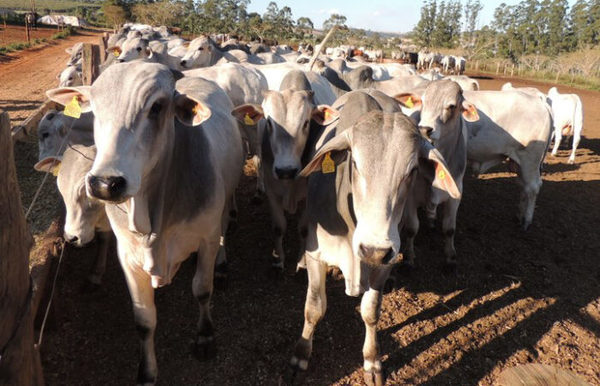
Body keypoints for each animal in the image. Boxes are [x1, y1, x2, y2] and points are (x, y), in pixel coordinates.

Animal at [45, 61, 245, 384]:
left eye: (157, 107)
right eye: (94, 109)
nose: (105, 183)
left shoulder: (206, 238)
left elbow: (202, 289)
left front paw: (204, 336)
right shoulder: (128, 256)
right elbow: (143, 319)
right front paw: (147, 371)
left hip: (226, 200)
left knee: (225, 227)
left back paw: (223, 264)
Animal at [290, 91, 460, 386]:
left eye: (412, 170)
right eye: (355, 163)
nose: (373, 250)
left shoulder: (385, 262)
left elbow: (370, 312)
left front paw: (372, 362)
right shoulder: (317, 256)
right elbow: (314, 308)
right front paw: (301, 357)